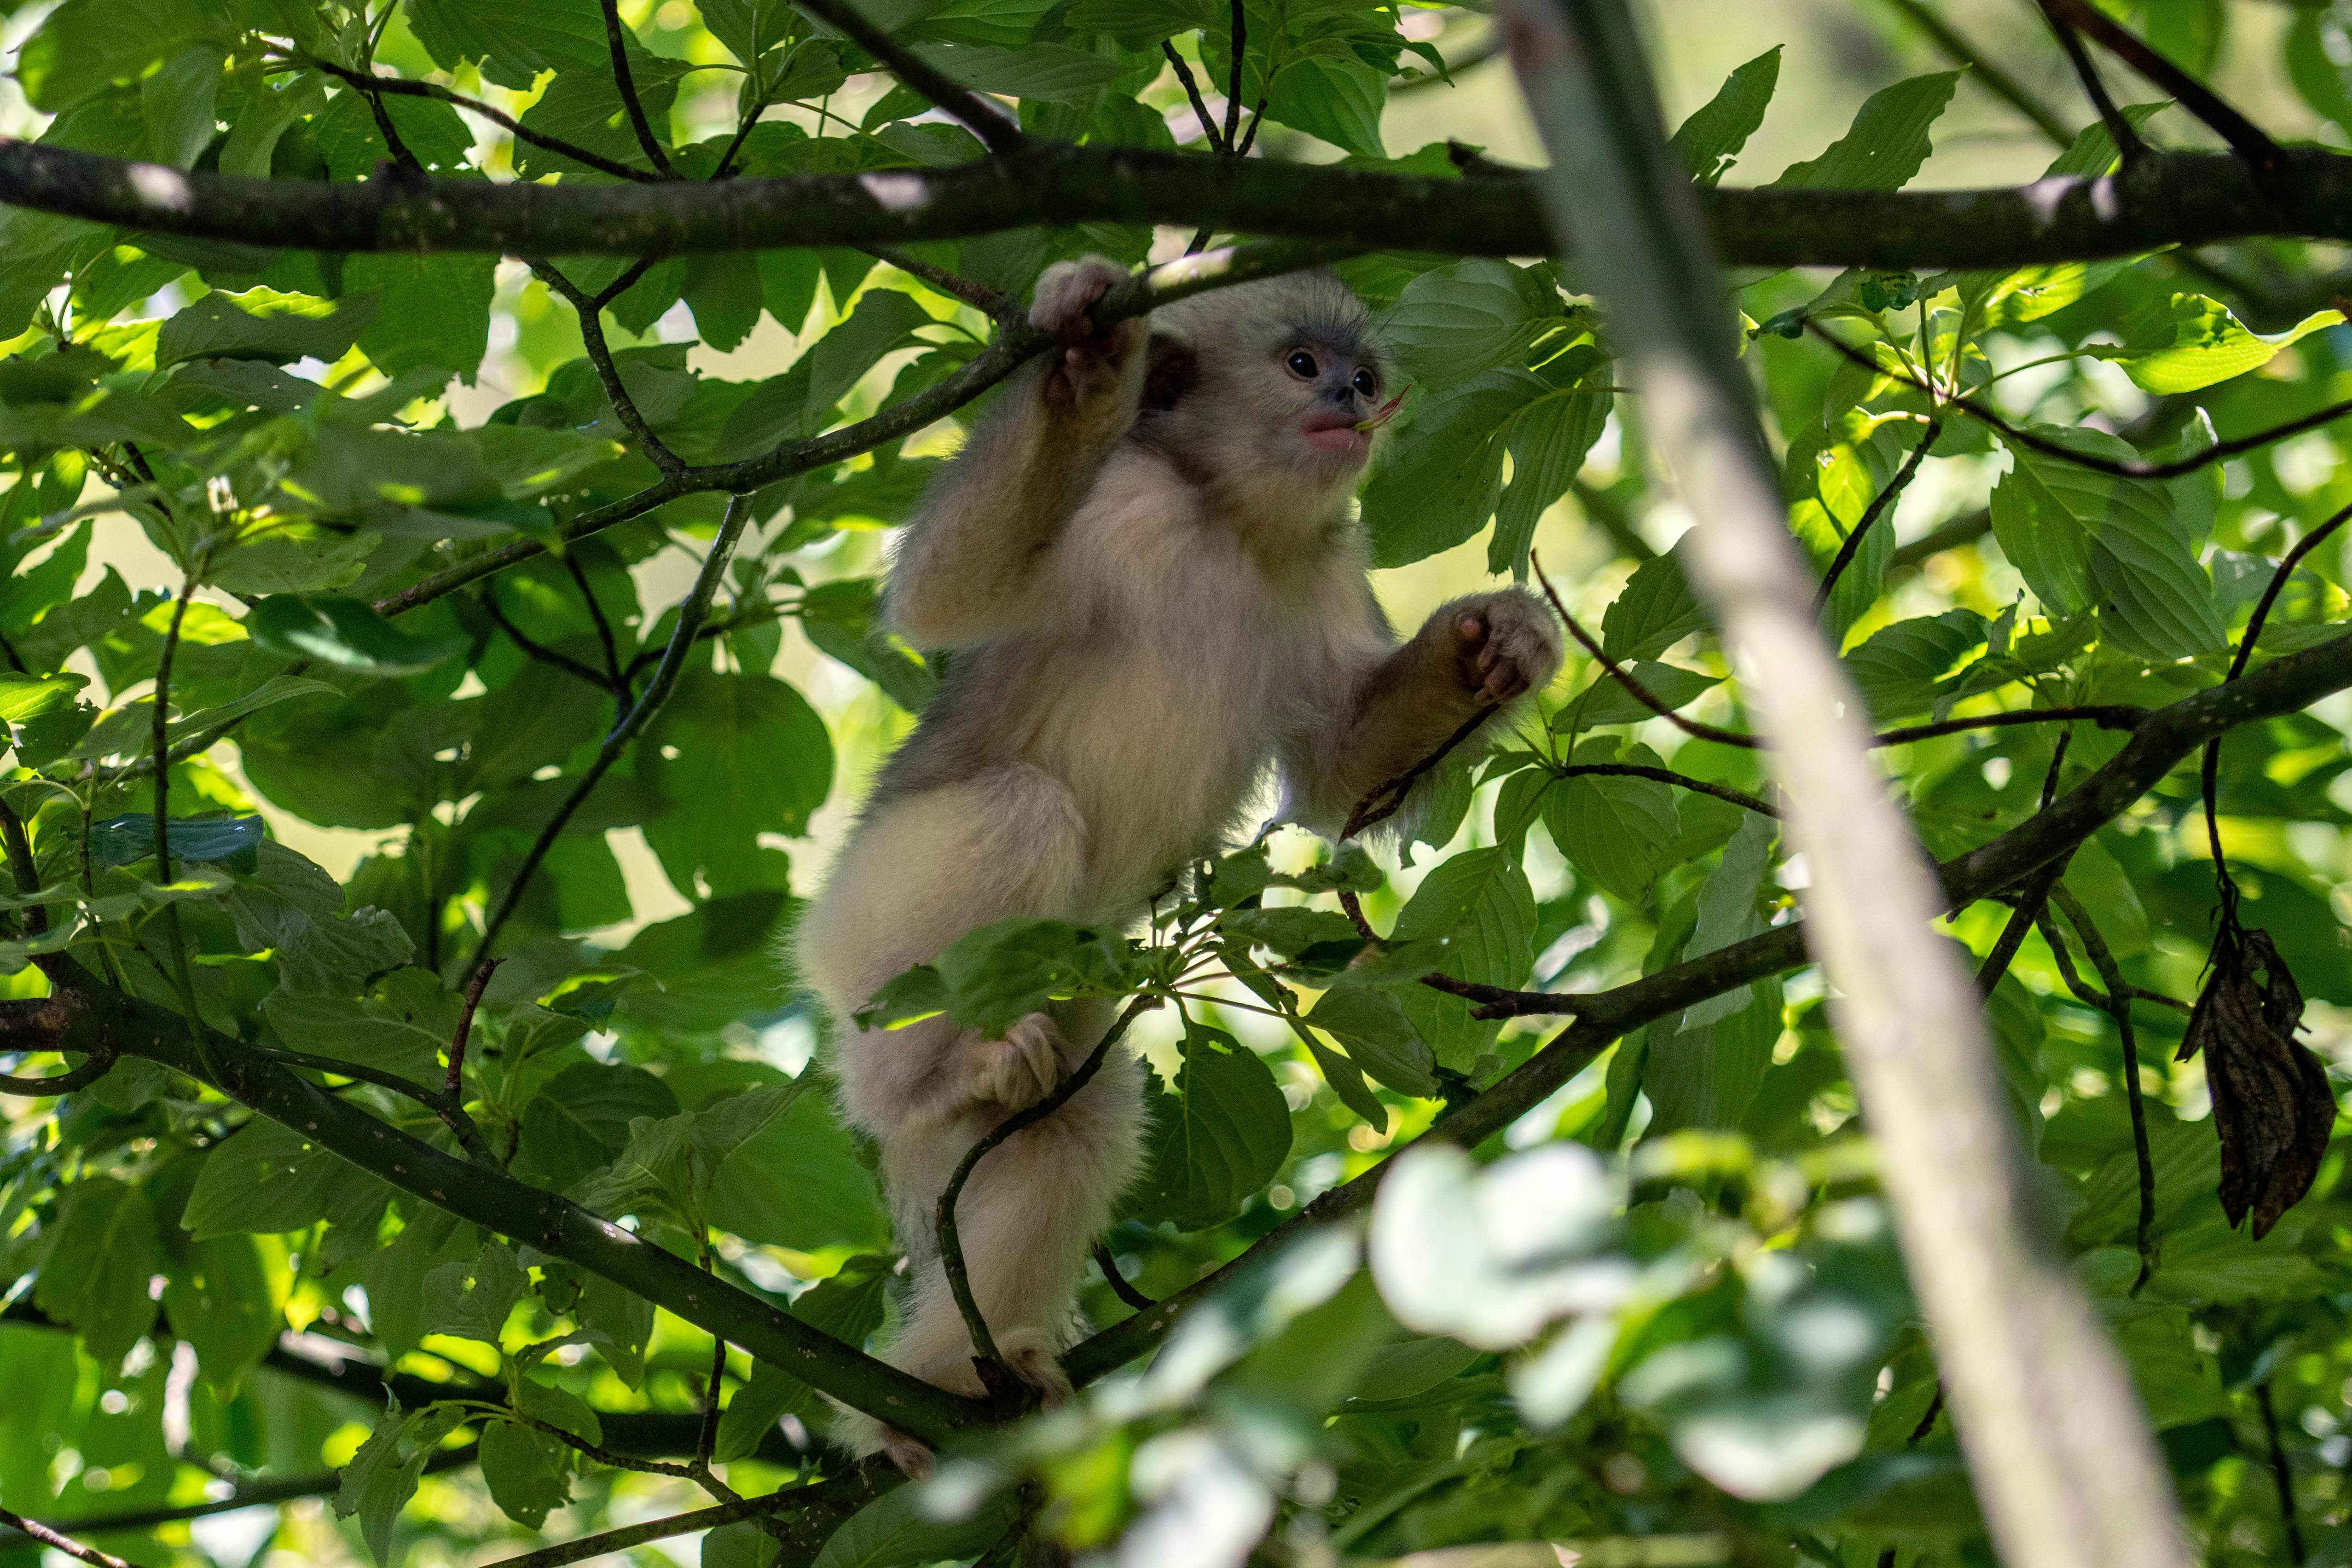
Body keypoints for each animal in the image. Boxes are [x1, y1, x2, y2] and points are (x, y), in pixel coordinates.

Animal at [795, 251, 1562, 1467]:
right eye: (1300, 364)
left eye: (1360, 373)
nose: (1349, 399)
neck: (1229, 526)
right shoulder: (1121, 502)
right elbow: (945, 592)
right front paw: (1082, 361)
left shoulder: (1328, 566)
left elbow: (1342, 772)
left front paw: (1495, 643)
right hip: (867, 917)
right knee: (1016, 810)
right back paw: (917, 1080)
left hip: (1058, 1005)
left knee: (1071, 1123)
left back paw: (953, 1384)